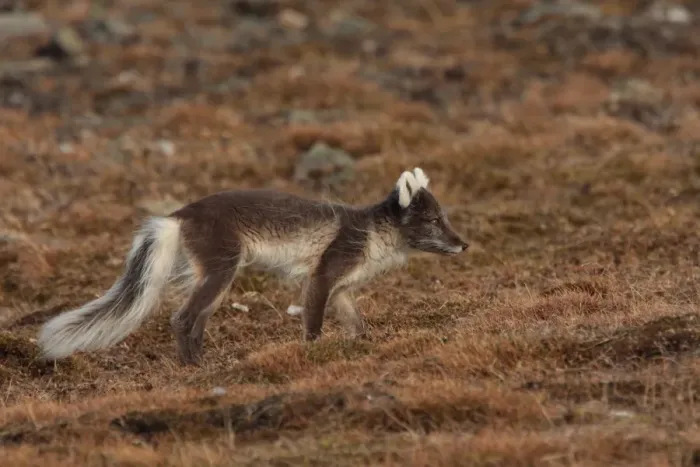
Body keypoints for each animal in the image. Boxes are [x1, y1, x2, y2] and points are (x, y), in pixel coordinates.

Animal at [37, 167, 468, 365]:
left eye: (444, 217)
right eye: (434, 220)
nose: (464, 244)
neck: (376, 234)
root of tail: (178, 215)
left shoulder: (342, 289)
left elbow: (356, 323)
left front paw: (363, 345)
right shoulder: (323, 275)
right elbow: (313, 324)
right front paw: (312, 356)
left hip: (217, 278)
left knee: (196, 320)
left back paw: (202, 362)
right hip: (222, 269)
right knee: (181, 317)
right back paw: (191, 368)